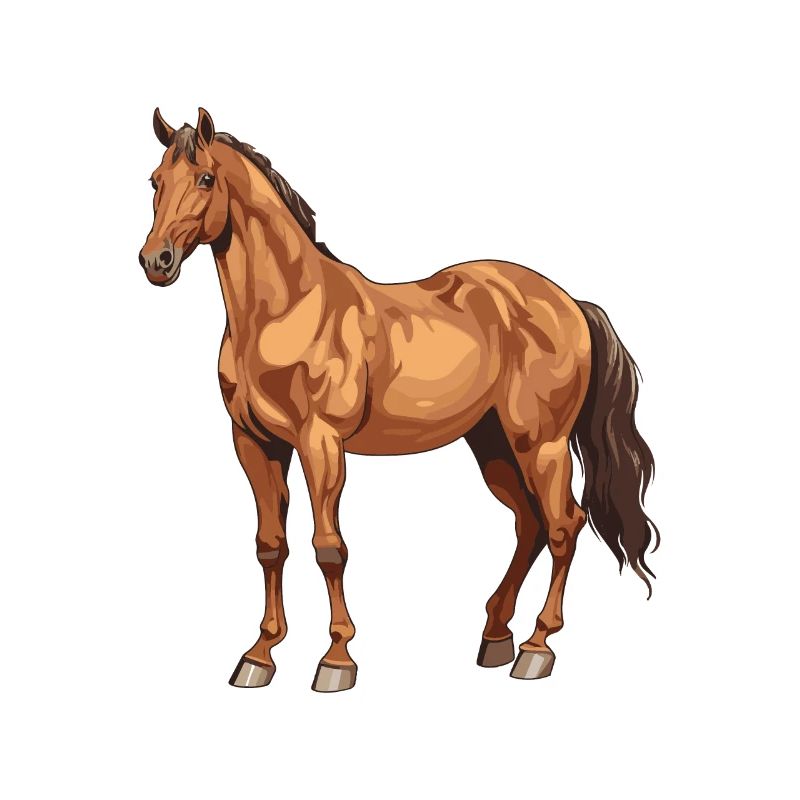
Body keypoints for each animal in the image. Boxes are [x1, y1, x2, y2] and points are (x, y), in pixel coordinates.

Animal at [139, 107, 659, 692]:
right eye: (155, 182)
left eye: (206, 178)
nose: (155, 261)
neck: (289, 310)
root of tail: (570, 303)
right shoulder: (255, 443)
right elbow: (270, 544)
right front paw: (259, 655)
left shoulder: (321, 444)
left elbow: (329, 548)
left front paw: (336, 659)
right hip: (491, 444)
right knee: (530, 525)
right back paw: (495, 637)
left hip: (540, 444)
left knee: (564, 525)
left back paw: (535, 648)